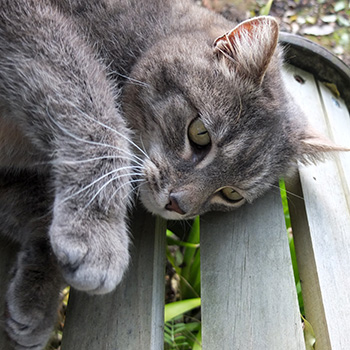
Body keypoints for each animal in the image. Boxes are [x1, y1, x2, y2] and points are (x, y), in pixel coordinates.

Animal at [0, 0, 344, 350]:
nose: (178, 205)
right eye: (200, 134)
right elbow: (95, 113)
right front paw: (97, 232)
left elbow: (34, 212)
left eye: (231, 194)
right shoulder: (34, 24)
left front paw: (37, 303)